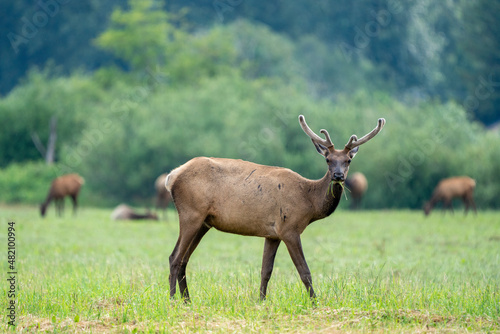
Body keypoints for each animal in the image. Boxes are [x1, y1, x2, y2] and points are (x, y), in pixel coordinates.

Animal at [166, 115, 384, 302]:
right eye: (328, 159)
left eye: (348, 160)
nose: (338, 175)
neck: (309, 201)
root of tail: (172, 176)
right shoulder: (289, 228)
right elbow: (304, 271)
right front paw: (315, 302)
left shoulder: (272, 234)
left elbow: (266, 271)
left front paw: (261, 301)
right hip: (191, 213)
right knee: (174, 257)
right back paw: (173, 300)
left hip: (204, 222)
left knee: (184, 259)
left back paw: (188, 300)